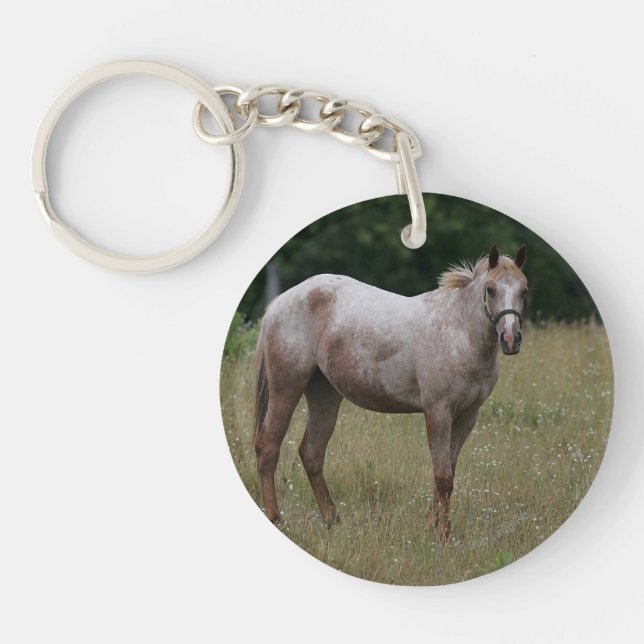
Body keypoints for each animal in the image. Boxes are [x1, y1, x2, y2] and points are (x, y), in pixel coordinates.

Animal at [252, 244, 527, 541]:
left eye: (524, 290)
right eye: (490, 289)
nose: (510, 339)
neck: (460, 333)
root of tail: (278, 303)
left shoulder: (467, 417)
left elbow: (447, 472)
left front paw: (431, 525)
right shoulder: (438, 412)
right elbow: (443, 476)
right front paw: (443, 534)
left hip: (324, 394)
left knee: (311, 454)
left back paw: (333, 521)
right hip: (286, 389)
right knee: (268, 448)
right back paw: (277, 519)